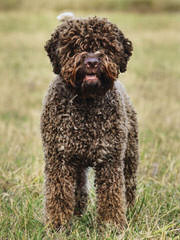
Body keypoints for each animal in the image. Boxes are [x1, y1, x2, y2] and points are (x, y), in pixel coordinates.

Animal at [41, 14, 139, 231]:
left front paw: (112, 225)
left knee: (128, 186)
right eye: (75, 46)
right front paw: (58, 226)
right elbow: (59, 195)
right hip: (76, 165)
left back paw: (131, 210)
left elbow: (112, 195)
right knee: (79, 190)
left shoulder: (109, 159)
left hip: (130, 155)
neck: (87, 102)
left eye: (105, 46)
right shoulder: (60, 159)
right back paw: (77, 215)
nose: (92, 62)